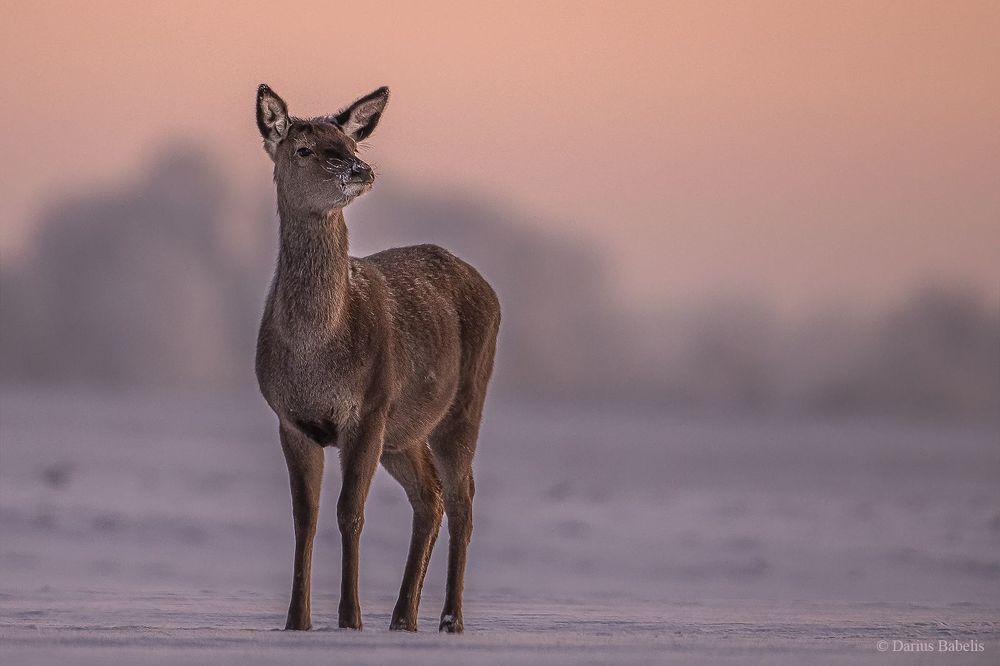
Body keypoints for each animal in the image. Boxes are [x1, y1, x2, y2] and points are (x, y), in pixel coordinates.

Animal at [253, 84, 500, 634]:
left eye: (349, 143)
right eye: (304, 149)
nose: (359, 169)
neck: (315, 357)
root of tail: (490, 289)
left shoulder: (367, 409)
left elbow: (350, 512)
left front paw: (350, 619)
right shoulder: (290, 419)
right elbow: (304, 518)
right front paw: (296, 621)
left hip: (465, 401)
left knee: (463, 496)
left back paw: (450, 619)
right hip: (403, 432)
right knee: (429, 498)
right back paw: (404, 617)